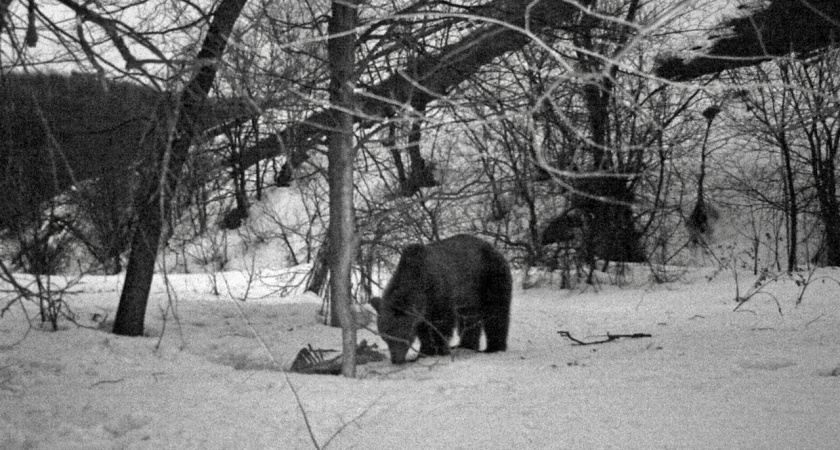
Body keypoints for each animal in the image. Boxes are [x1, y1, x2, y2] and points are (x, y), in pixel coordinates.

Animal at [372, 234, 512, 364]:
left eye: (402, 336)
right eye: (385, 337)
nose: (396, 360)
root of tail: (493, 248)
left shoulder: (440, 294)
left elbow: (442, 324)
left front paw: (439, 349)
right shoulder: (422, 311)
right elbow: (424, 330)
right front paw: (425, 351)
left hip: (490, 277)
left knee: (496, 312)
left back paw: (493, 347)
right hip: (470, 295)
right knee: (469, 318)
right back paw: (465, 345)